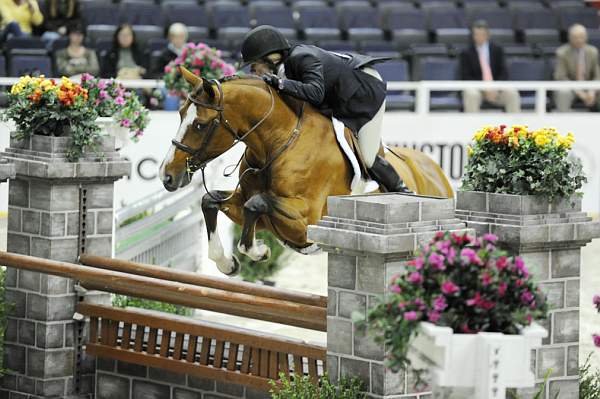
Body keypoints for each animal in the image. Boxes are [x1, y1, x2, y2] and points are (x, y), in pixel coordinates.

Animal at [157, 67, 452, 276]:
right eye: (180, 114)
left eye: (201, 125)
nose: (167, 175)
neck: (277, 143)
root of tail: (438, 175)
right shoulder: (254, 213)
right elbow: (210, 201)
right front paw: (228, 263)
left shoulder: (305, 220)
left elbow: (257, 204)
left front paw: (259, 252)